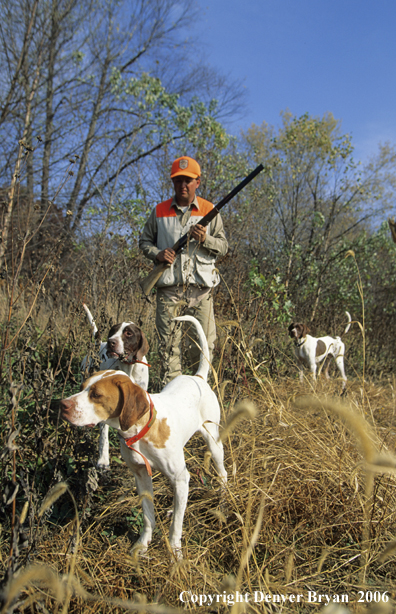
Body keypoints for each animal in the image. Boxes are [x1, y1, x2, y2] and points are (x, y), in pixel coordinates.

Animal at [81, 306, 149, 470]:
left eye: (128, 333)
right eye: (113, 331)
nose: (111, 342)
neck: (128, 367)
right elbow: (103, 436)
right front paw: (103, 460)